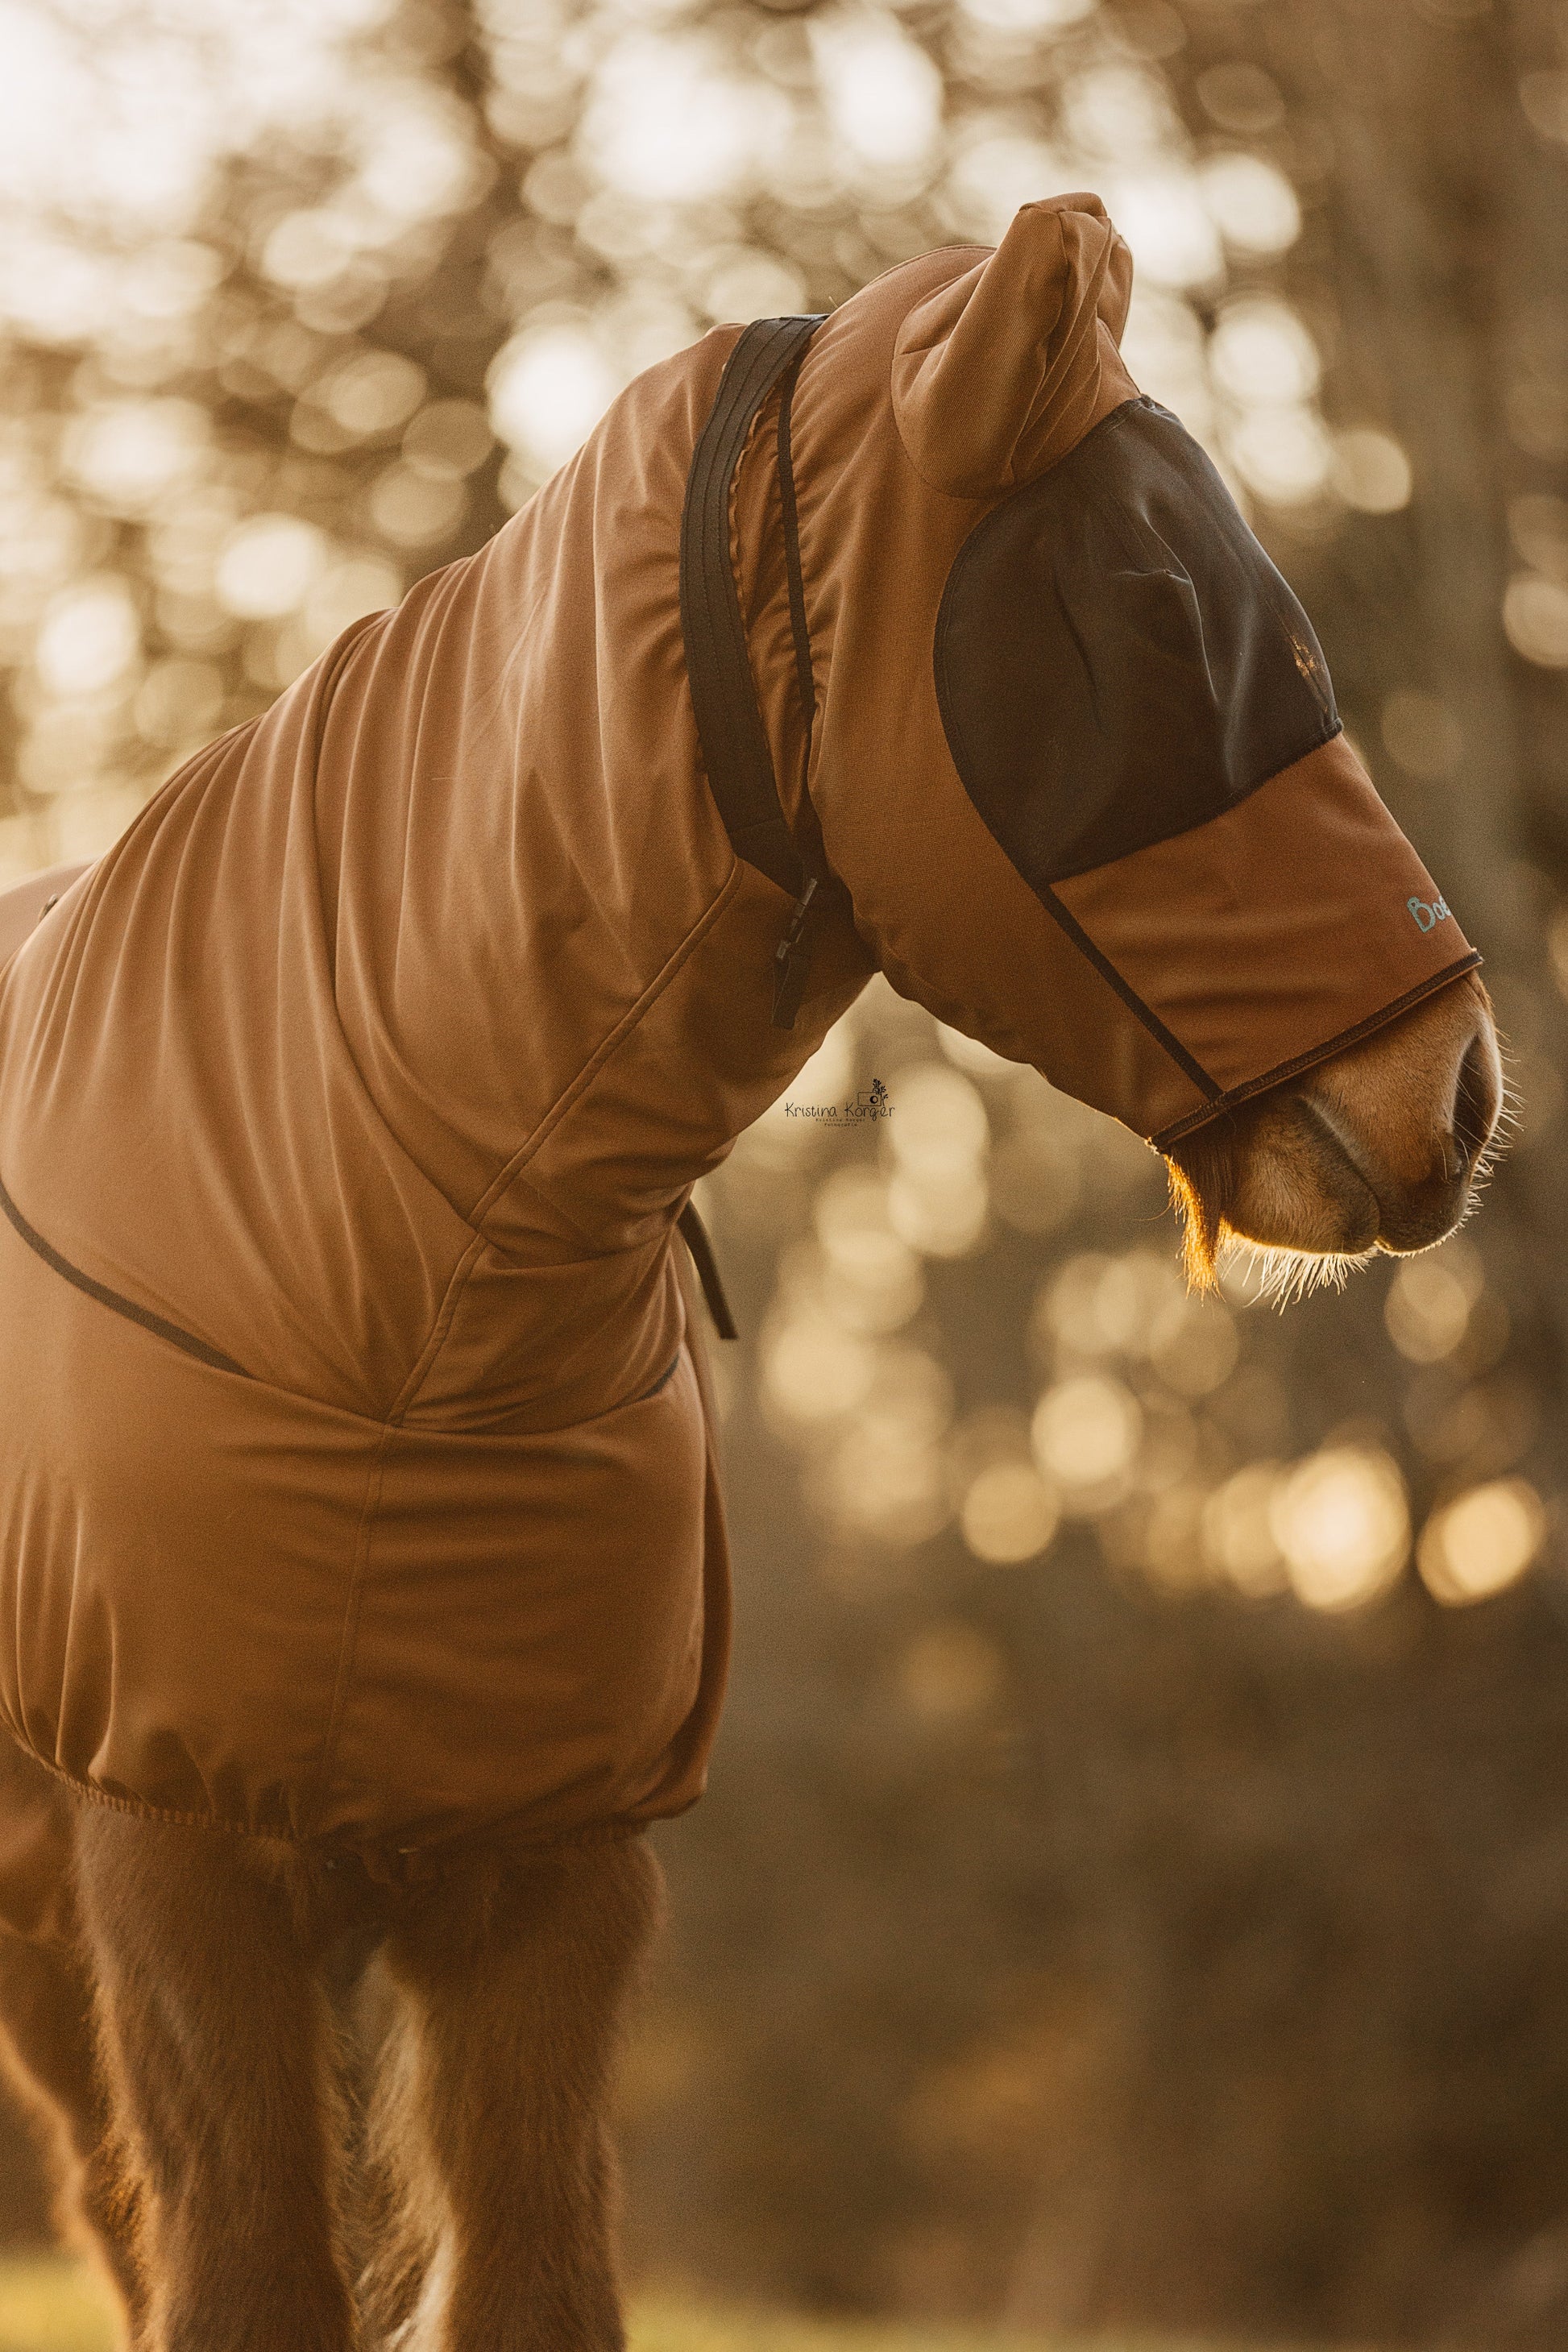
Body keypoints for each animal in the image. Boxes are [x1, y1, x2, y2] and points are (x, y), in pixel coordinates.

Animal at [0, 193, 1504, 2342]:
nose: (1456, 1092)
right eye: (1144, 613)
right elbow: (254, 2278)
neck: (396, 1291)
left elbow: (537, 2281)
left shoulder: (556, 1887)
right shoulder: (177, 1867)